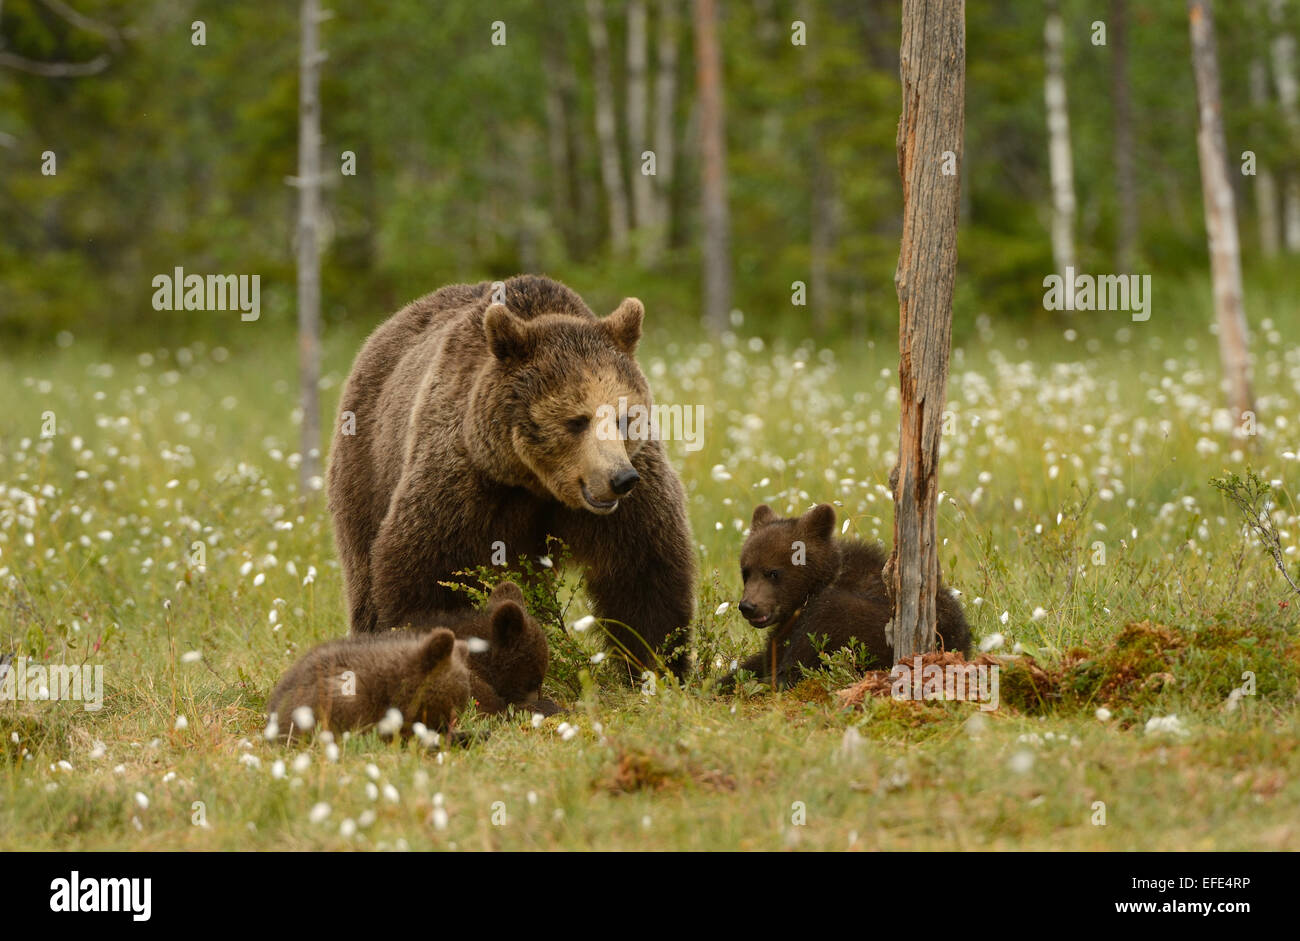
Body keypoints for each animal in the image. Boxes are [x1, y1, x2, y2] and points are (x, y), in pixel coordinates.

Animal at [327, 275, 696, 678]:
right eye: (577, 420)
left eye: (624, 417)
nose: (620, 479)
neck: (536, 482)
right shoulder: (465, 481)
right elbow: (428, 571)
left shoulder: (631, 495)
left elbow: (644, 569)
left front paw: (656, 665)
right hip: (367, 462)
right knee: (363, 566)